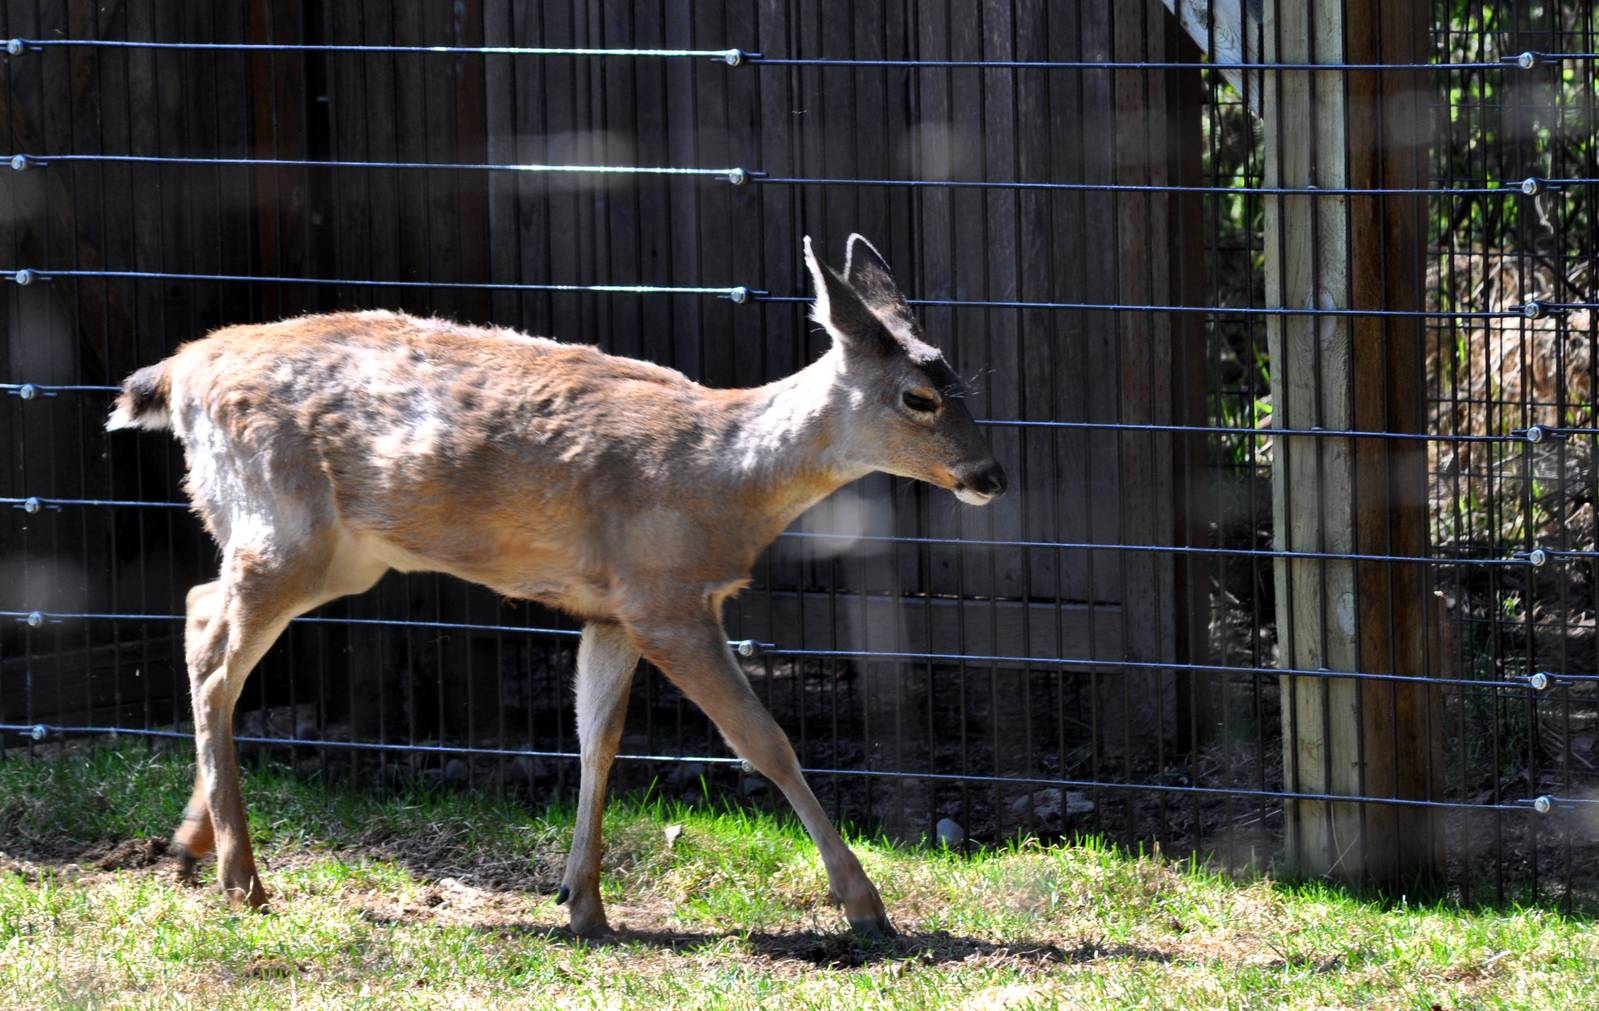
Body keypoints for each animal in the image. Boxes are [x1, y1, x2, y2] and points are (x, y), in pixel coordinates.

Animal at [105, 234, 1006, 938]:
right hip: (290, 526)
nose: (989, 474)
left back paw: (189, 847)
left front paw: (583, 901)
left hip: (322, 547)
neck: (722, 478)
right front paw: (865, 906)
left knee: (197, 610)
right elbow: (763, 740)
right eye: (918, 397)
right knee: (214, 653)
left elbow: (595, 737)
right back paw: (241, 876)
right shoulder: (666, 595)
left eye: (960, 383)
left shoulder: (611, 607)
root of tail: (181, 372)